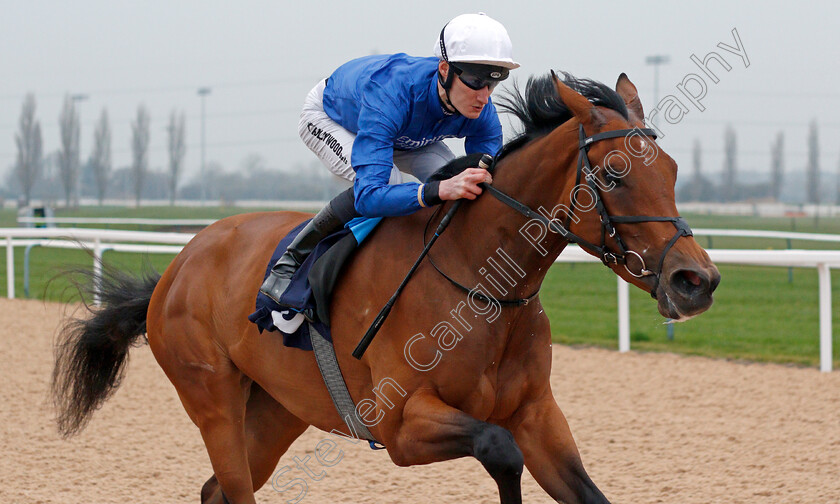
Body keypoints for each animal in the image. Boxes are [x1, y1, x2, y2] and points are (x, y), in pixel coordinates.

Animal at [50, 72, 720, 504]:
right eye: (613, 174)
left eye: (672, 171)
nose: (697, 281)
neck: (480, 281)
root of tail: (180, 264)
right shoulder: (401, 424)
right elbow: (500, 451)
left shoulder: (538, 414)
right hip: (211, 398)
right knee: (231, 486)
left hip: (275, 410)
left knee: (217, 489)